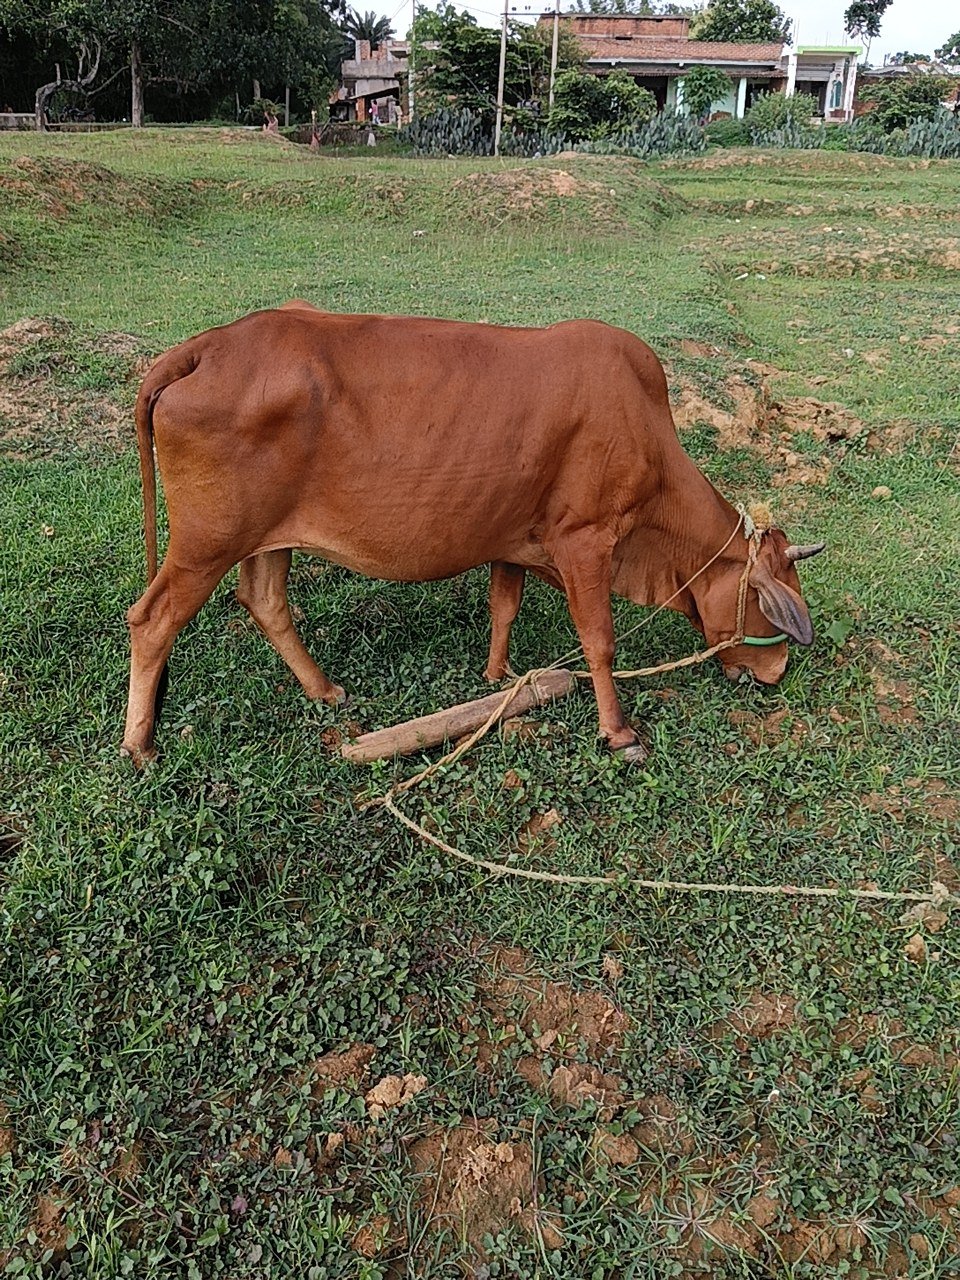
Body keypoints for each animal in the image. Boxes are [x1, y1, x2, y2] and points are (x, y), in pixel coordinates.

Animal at [122, 302, 823, 765]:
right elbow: (599, 642)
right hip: (205, 546)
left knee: (265, 602)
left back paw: (326, 692)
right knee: (152, 620)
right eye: (768, 602)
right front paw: (619, 733)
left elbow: (504, 606)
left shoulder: (513, 540)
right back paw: (140, 744)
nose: (774, 675)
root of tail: (207, 347)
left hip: (269, 539)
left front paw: (500, 674)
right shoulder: (586, 541)